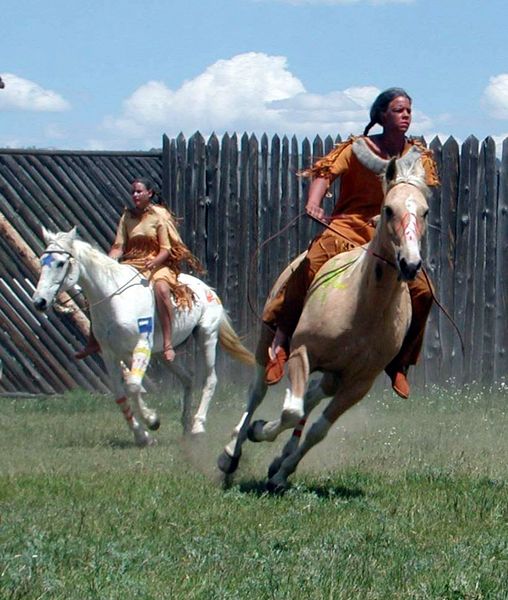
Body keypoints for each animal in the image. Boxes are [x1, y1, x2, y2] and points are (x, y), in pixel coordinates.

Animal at [32, 227, 254, 448]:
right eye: (42, 261)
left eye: (61, 263)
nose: (39, 302)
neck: (115, 298)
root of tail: (209, 290)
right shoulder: (111, 353)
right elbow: (123, 393)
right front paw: (142, 435)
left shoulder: (142, 346)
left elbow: (133, 386)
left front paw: (151, 421)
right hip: (164, 354)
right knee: (187, 378)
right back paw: (186, 426)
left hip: (207, 336)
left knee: (210, 379)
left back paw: (198, 427)